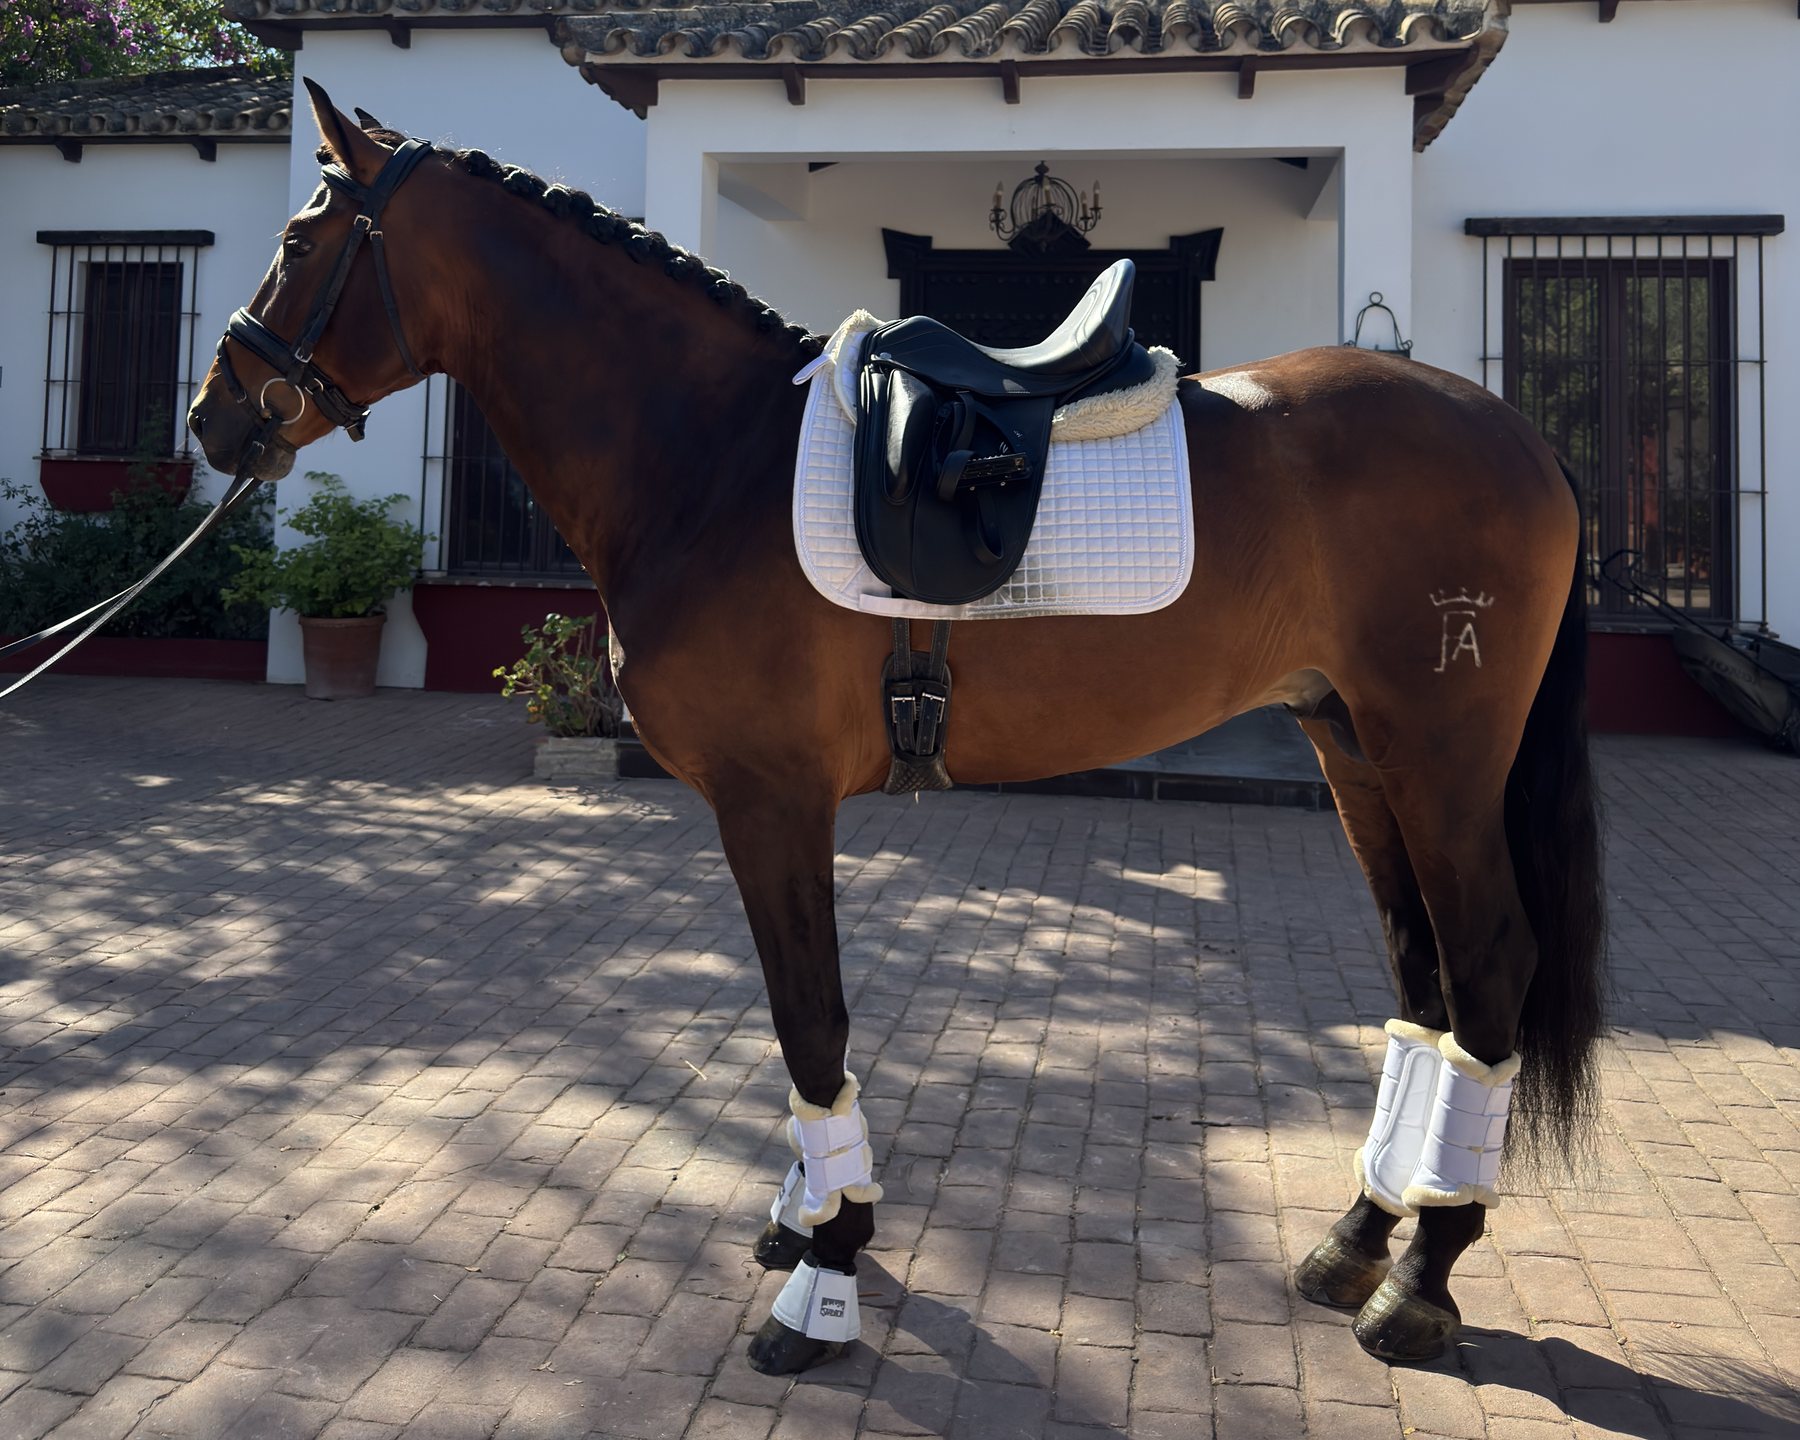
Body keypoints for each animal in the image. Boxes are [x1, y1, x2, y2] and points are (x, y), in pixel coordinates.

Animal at [185, 79, 1606, 1378]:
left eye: (303, 240)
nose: (213, 418)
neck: (710, 458)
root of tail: (1519, 436)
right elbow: (798, 1021)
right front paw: (813, 1213)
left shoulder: (771, 798)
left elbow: (809, 1021)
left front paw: (825, 1276)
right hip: (1352, 744)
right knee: (1424, 978)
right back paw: (1358, 1239)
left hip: (1439, 754)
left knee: (1488, 967)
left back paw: (1420, 1282)